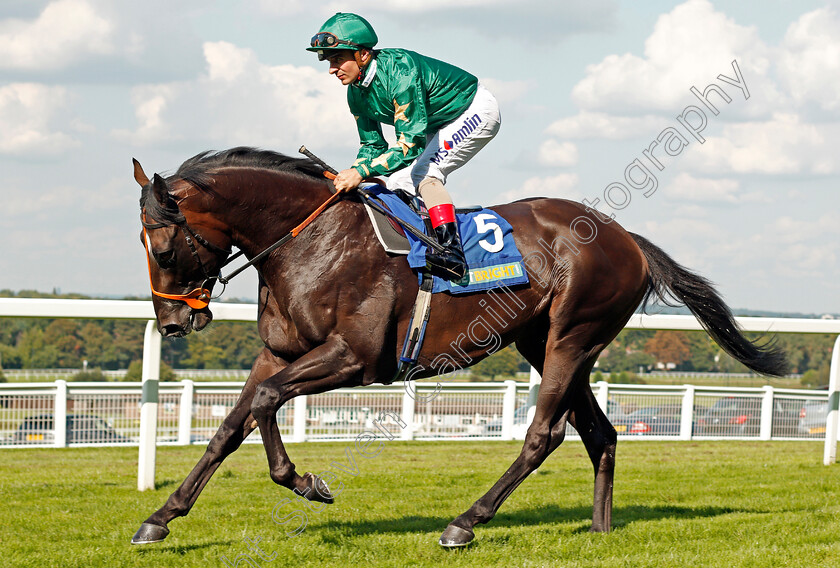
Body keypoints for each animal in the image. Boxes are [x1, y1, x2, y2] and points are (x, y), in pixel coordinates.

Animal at [131, 146, 788, 544]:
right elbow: (229, 426)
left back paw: (465, 522)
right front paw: (161, 518)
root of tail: (626, 238)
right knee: (599, 433)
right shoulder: (279, 353)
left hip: (572, 337)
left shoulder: (354, 359)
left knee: (544, 434)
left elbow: (267, 401)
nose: (172, 322)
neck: (309, 241)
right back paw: (599, 531)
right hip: (545, 341)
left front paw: (306, 482)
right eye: (143, 245)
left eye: (162, 246)